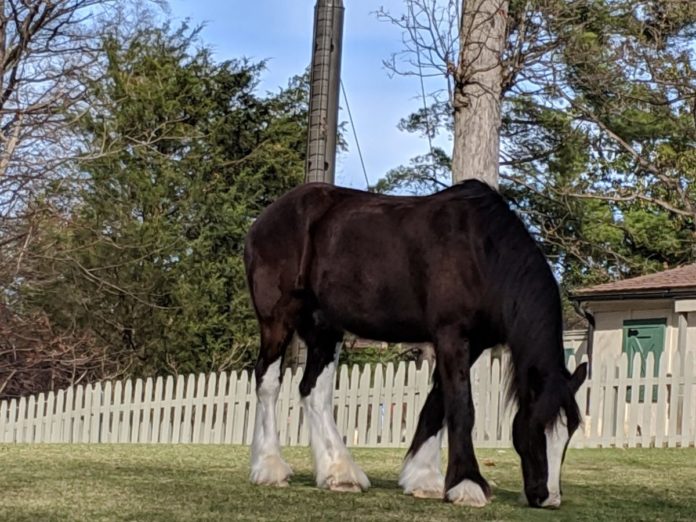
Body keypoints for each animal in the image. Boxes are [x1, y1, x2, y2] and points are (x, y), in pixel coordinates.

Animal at [245, 180, 588, 508]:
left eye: (570, 431)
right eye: (535, 426)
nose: (547, 498)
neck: (481, 253)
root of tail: (263, 221)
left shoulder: (472, 343)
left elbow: (438, 402)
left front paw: (423, 478)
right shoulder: (452, 334)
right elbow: (461, 406)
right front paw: (467, 484)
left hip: (325, 328)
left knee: (313, 390)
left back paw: (339, 473)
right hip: (277, 320)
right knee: (268, 381)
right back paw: (270, 467)